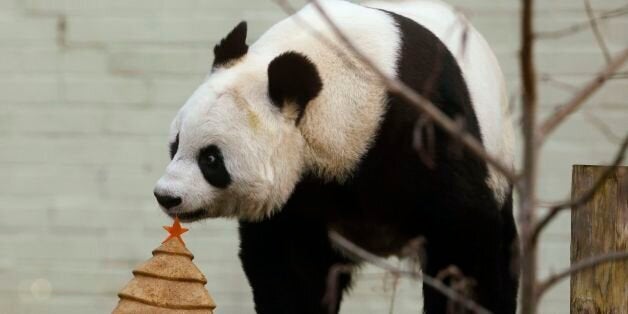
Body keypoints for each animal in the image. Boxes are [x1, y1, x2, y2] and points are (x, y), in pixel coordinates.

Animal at [153, 0, 520, 312]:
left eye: (211, 159)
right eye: (175, 144)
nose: (166, 196)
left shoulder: (423, 126)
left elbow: (464, 235)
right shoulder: (300, 196)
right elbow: (289, 265)